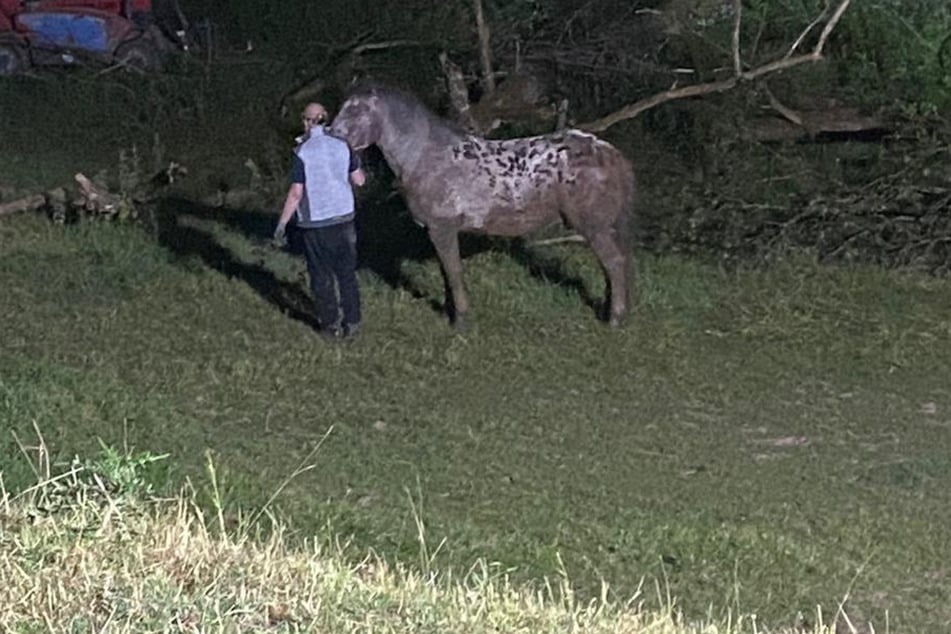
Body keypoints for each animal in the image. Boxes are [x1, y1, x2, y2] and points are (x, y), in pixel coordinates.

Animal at [330, 82, 636, 326]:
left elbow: (453, 272)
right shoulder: (438, 232)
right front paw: (451, 313)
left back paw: (614, 319)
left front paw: (461, 320)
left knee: (614, 263)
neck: (426, 155)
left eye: (356, 112)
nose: (330, 134)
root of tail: (608, 152)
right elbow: (446, 273)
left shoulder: (441, 228)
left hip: (594, 227)